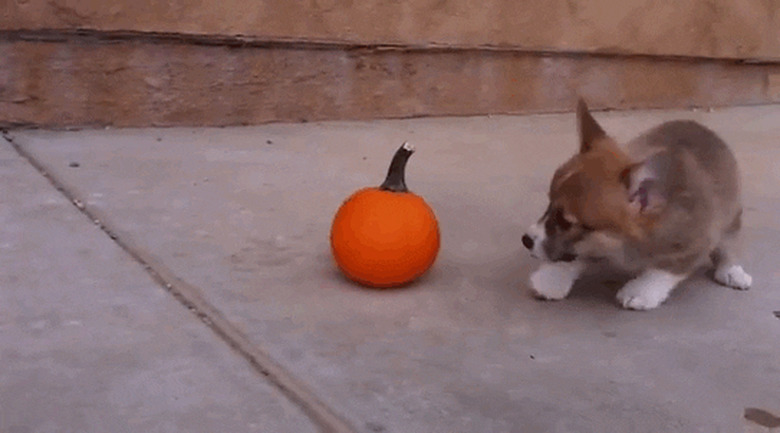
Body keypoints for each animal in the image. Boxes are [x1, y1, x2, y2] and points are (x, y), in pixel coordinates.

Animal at [520, 99, 752, 308]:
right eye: (549, 205)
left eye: (566, 222)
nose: (526, 240)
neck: (625, 243)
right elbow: (577, 254)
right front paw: (552, 278)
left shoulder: (695, 244)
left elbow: (664, 270)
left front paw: (640, 291)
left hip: (732, 216)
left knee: (728, 243)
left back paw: (732, 271)